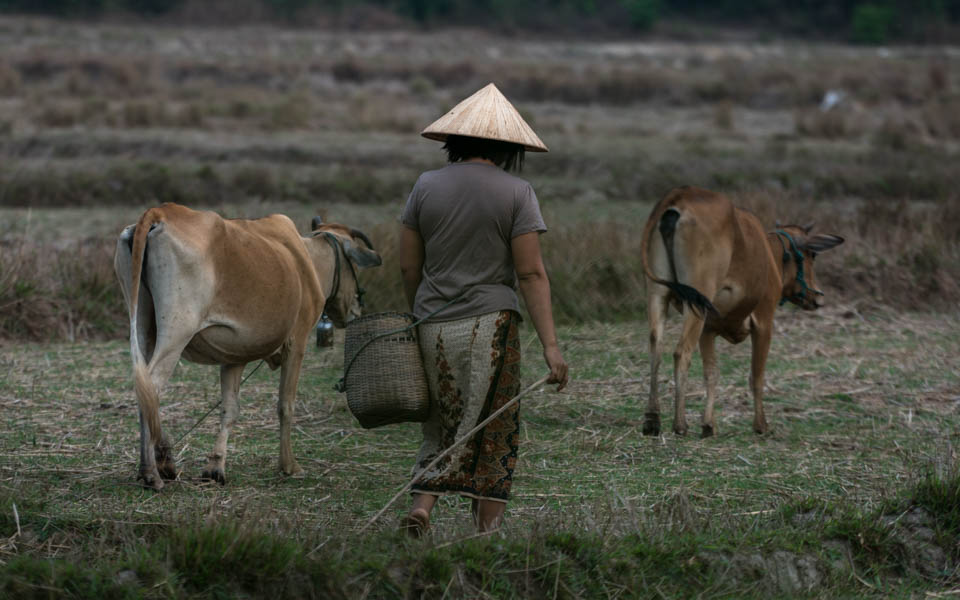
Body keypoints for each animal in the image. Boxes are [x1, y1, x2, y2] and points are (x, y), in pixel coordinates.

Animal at [114, 204, 380, 490]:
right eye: (353, 266)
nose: (357, 307)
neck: (305, 260)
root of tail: (159, 212)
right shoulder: (297, 342)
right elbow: (286, 404)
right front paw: (289, 466)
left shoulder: (234, 356)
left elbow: (230, 408)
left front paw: (216, 467)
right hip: (177, 330)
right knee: (152, 385)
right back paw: (154, 469)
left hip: (143, 326)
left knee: (143, 387)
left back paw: (155, 465)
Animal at [644, 185, 840, 438]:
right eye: (812, 255)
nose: (817, 297)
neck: (771, 253)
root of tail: (679, 196)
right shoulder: (764, 322)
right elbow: (756, 376)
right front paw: (761, 425)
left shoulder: (708, 329)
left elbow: (711, 373)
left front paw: (709, 424)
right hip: (696, 302)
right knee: (681, 353)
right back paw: (680, 424)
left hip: (658, 294)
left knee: (655, 349)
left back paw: (652, 419)